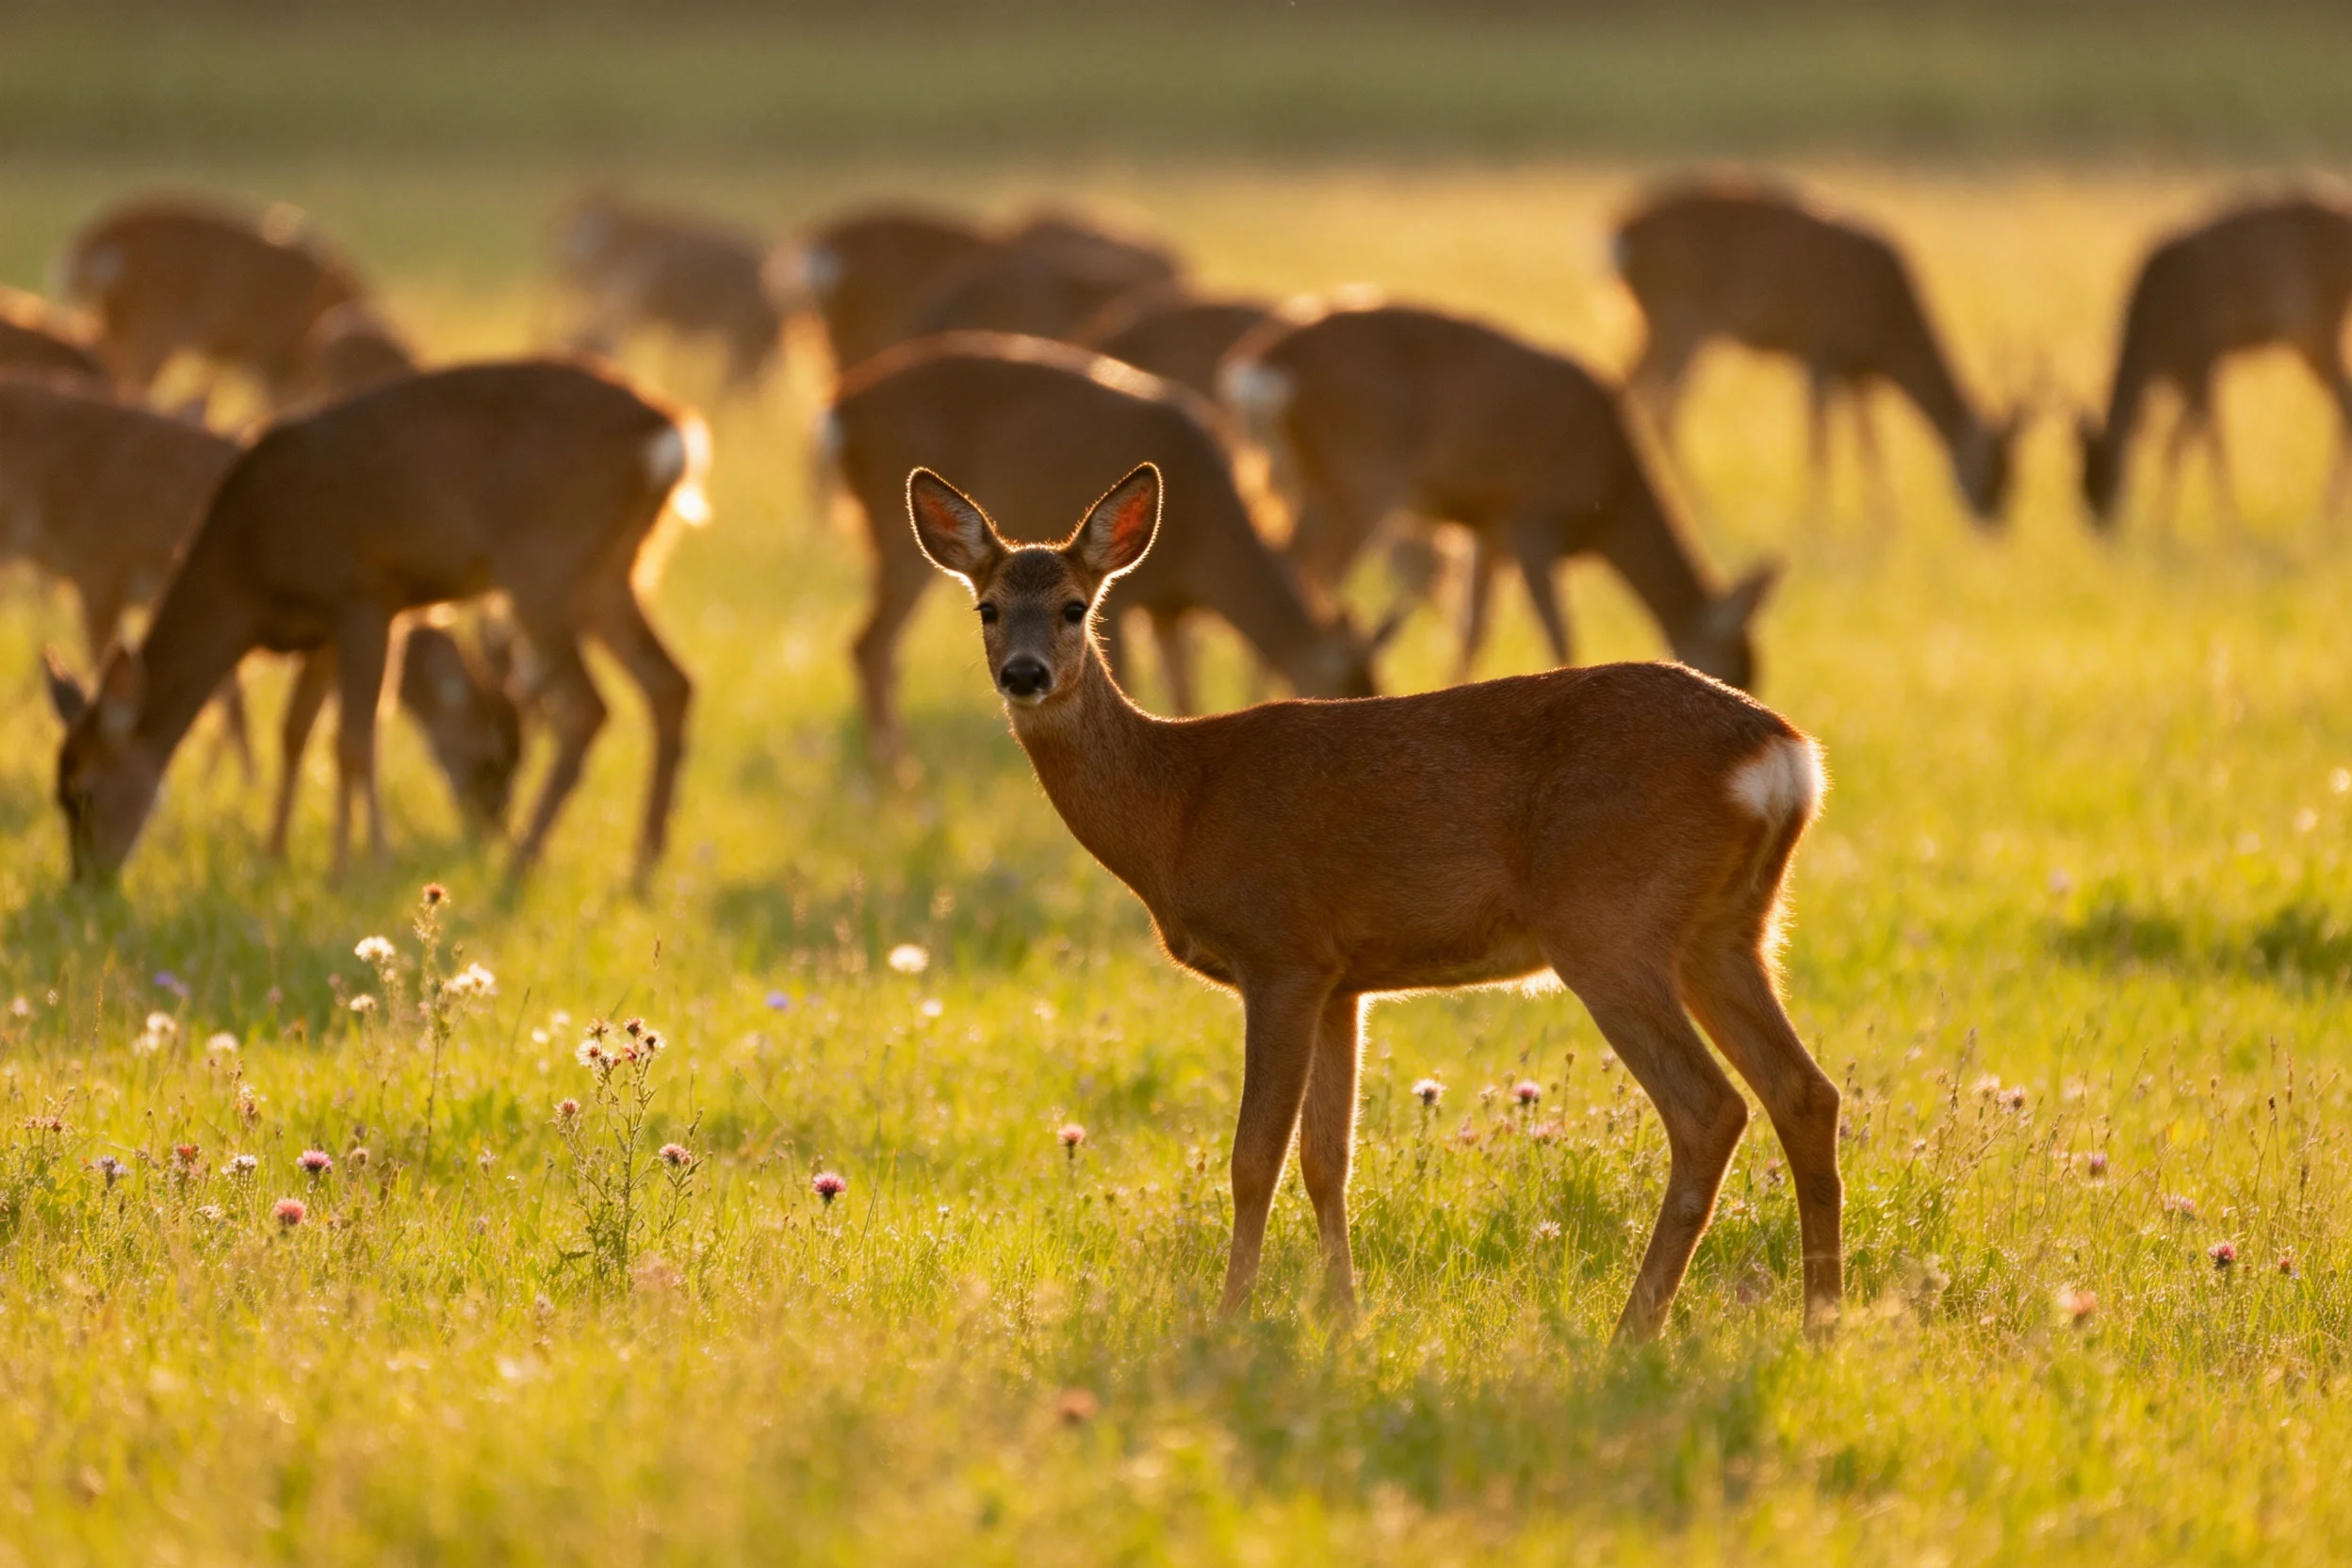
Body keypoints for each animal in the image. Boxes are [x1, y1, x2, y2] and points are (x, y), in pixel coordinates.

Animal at [824, 332, 1384, 770]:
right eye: (1339, 689)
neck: (1205, 544)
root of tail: (837, 412)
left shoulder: (1169, 607)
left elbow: (1184, 693)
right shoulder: (1134, 594)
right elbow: (1135, 679)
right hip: (891, 525)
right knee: (870, 642)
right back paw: (897, 776)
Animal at [905, 461, 1838, 1340]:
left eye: (1073, 607)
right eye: (988, 608)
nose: (1024, 675)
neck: (1178, 807)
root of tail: (1785, 757)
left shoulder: (1280, 951)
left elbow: (1255, 1158)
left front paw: (1231, 1318)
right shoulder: (1342, 980)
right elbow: (1328, 1158)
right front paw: (1344, 1316)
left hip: (1609, 924)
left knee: (1711, 1109)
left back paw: (1634, 1331)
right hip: (1730, 932)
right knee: (1806, 1092)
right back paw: (1820, 1324)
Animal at [1222, 301, 1778, 689]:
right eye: (1731, 668)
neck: (1614, 498)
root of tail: (1262, 364)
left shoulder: (1484, 527)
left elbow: (1471, 627)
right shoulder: (1531, 517)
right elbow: (1557, 630)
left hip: (1299, 480)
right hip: (1360, 478)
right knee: (1302, 568)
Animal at [1613, 179, 2022, 527]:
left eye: (2016, 474)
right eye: (1994, 471)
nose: (1995, 522)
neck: (1892, 319)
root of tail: (1620, 236)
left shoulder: (1858, 374)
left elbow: (1868, 446)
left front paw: (1883, 521)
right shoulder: (1822, 355)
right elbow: (1821, 445)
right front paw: (1817, 522)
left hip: (1659, 327)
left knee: (1636, 389)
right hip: (1679, 324)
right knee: (1660, 403)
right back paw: (1699, 508)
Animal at [2079, 194, 2352, 530]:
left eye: (2109, 472)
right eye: (2079, 481)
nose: (2101, 526)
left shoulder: (2204, 357)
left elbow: (2207, 441)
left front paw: (2223, 523)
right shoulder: (2182, 374)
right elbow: (2179, 443)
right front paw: (2164, 521)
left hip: (2322, 326)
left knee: (2344, 401)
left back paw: (2328, 514)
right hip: (2309, 342)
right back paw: (2329, 514)